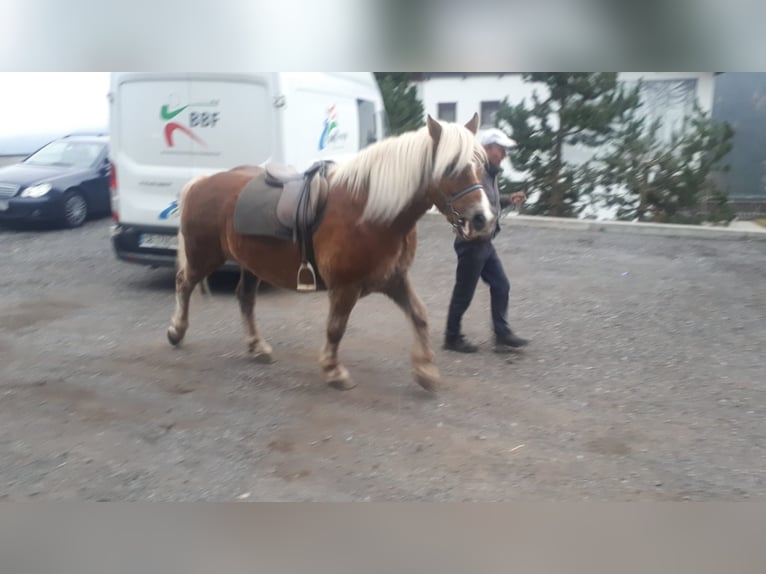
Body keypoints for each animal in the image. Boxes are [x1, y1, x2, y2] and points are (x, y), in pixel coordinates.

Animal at [166, 113, 498, 392]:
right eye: (451, 167)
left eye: (480, 164)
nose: (482, 219)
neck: (370, 212)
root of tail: (202, 181)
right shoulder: (345, 287)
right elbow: (336, 328)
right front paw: (333, 370)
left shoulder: (394, 279)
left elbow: (419, 316)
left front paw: (425, 369)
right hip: (204, 257)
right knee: (184, 283)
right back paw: (176, 331)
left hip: (250, 263)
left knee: (245, 298)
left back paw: (257, 346)